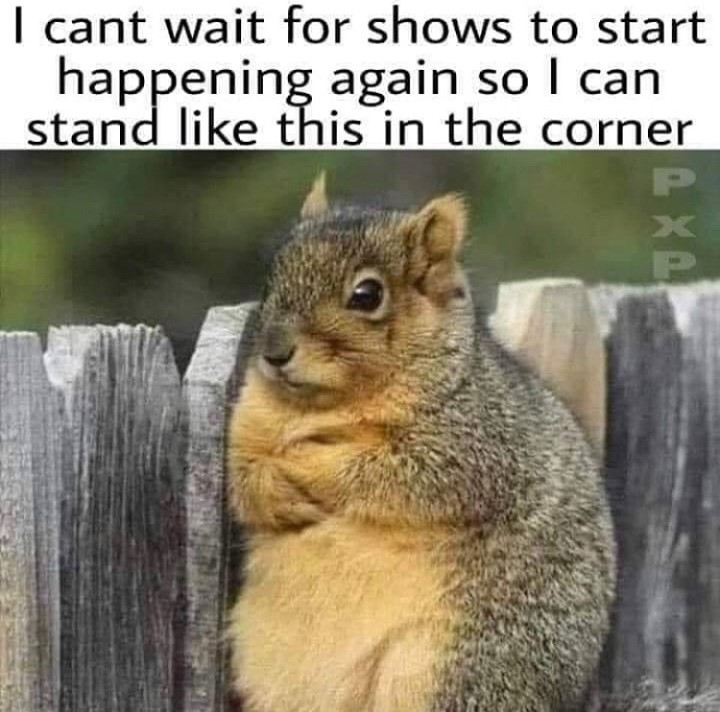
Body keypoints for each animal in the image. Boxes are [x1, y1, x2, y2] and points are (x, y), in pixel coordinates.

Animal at [226, 175, 718, 712]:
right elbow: (242, 477)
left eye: (367, 295)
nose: (274, 353)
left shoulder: (474, 442)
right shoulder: (246, 425)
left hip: (448, 673)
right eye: (272, 275)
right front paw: (274, 491)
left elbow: (387, 472)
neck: (322, 406)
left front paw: (307, 464)